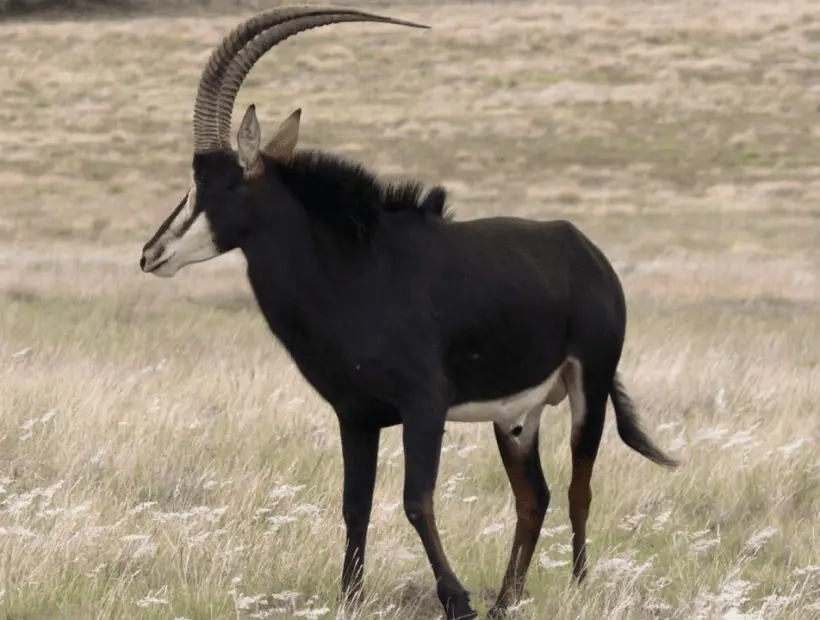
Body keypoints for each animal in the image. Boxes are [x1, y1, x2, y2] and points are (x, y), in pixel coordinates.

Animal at [139, 6, 679, 619]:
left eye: (208, 182)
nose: (151, 253)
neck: (355, 267)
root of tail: (588, 253)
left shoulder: (424, 405)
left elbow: (416, 501)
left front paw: (457, 599)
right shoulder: (355, 415)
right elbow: (355, 505)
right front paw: (350, 597)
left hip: (590, 386)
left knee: (578, 488)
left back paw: (577, 588)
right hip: (516, 416)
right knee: (534, 497)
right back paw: (506, 602)